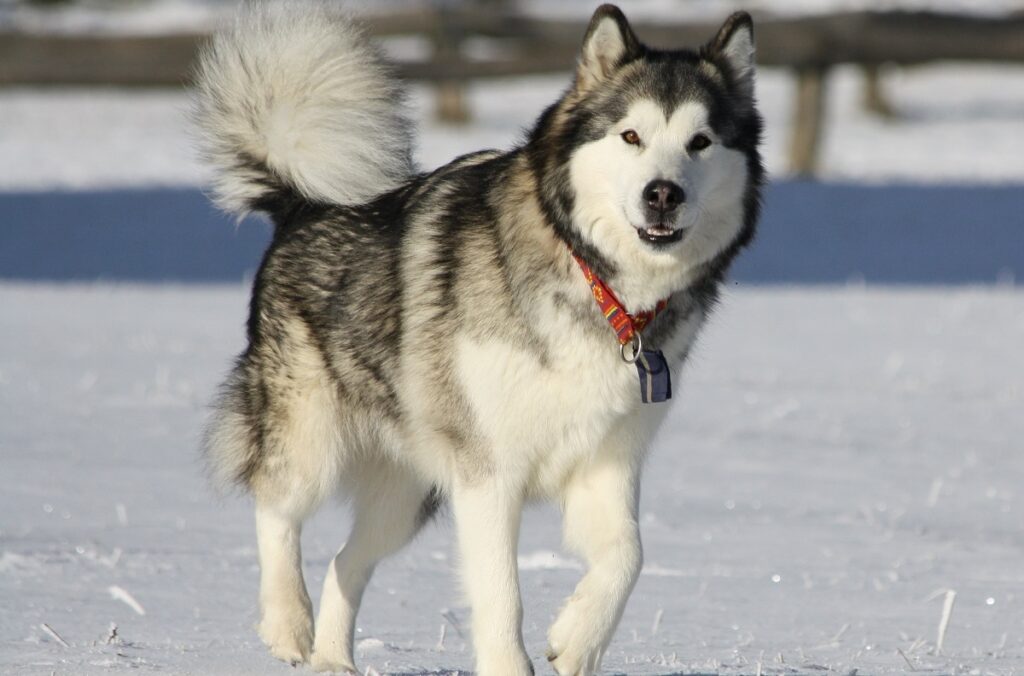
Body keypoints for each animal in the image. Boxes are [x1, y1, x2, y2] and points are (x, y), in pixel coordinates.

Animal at [195, 2, 765, 671]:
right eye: (631, 136)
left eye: (700, 142)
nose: (663, 195)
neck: (598, 284)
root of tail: (302, 205)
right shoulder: (489, 473)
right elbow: (501, 594)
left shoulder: (607, 461)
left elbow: (629, 556)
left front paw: (577, 640)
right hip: (311, 436)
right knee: (276, 505)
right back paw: (288, 621)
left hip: (409, 494)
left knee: (345, 561)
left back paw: (333, 659)